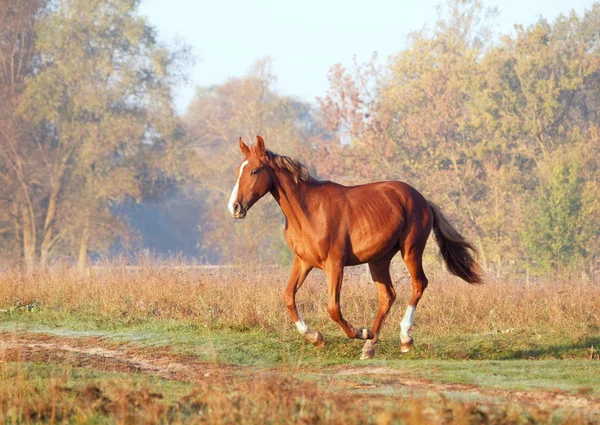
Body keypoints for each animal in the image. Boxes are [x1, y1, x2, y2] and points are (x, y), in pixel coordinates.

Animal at [226, 135, 482, 358]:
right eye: (238, 170)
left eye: (254, 170)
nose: (235, 208)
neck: (309, 211)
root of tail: (422, 200)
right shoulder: (303, 261)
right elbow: (289, 296)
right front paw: (315, 337)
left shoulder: (335, 264)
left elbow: (333, 307)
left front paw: (358, 331)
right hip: (378, 260)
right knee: (387, 296)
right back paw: (370, 345)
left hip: (411, 250)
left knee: (418, 284)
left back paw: (404, 338)